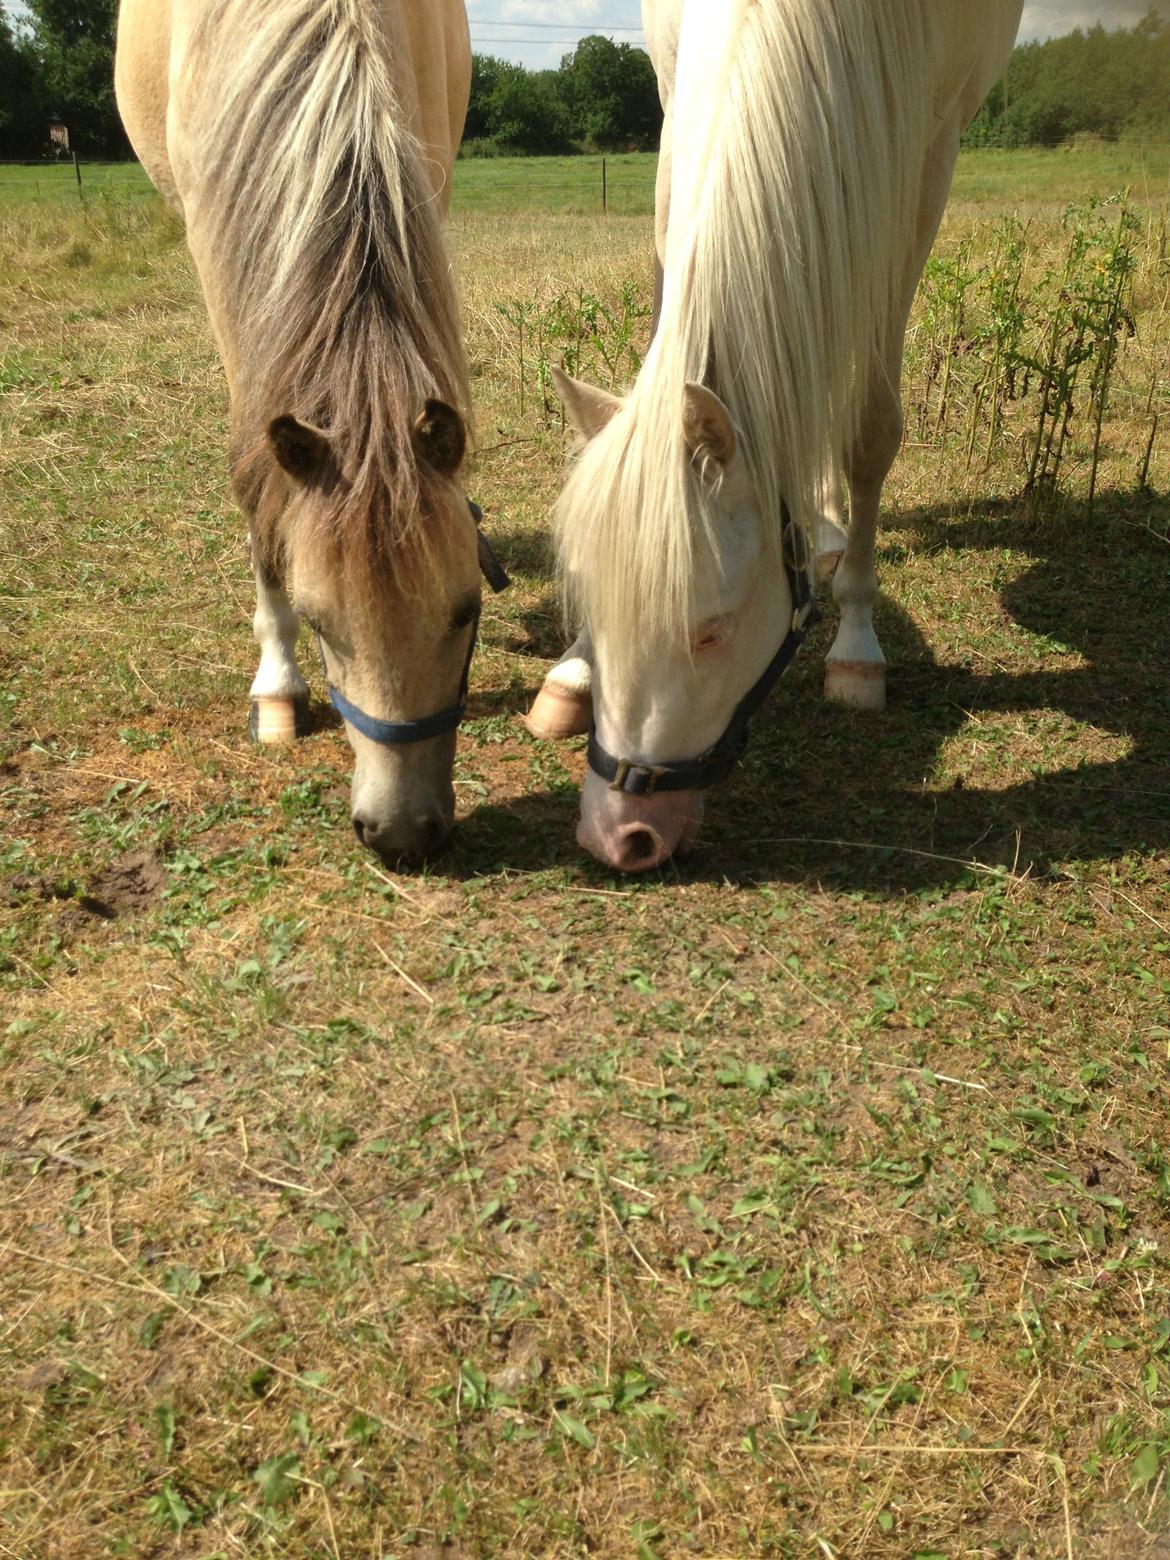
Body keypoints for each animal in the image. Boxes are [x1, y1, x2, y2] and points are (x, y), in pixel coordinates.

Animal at [526, 0, 1023, 872]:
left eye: (712, 631)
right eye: (589, 598)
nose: (617, 835)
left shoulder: (925, 152)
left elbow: (867, 428)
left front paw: (856, 647)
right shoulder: (674, 95)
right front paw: (574, 669)